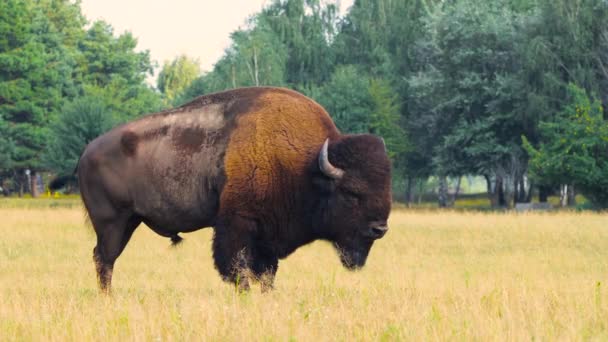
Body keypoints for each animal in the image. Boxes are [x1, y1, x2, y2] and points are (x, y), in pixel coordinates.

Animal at [54, 87, 392, 292]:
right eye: (351, 193)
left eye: (386, 187)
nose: (380, 228)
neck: (304, 166)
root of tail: (86, 152)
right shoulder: (237, 225)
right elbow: (238, 270)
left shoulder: (268, 237)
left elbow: (267, 274)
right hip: (112, 222)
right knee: (104, 258)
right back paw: (108, 298)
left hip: (129, 222)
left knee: (104, 258)